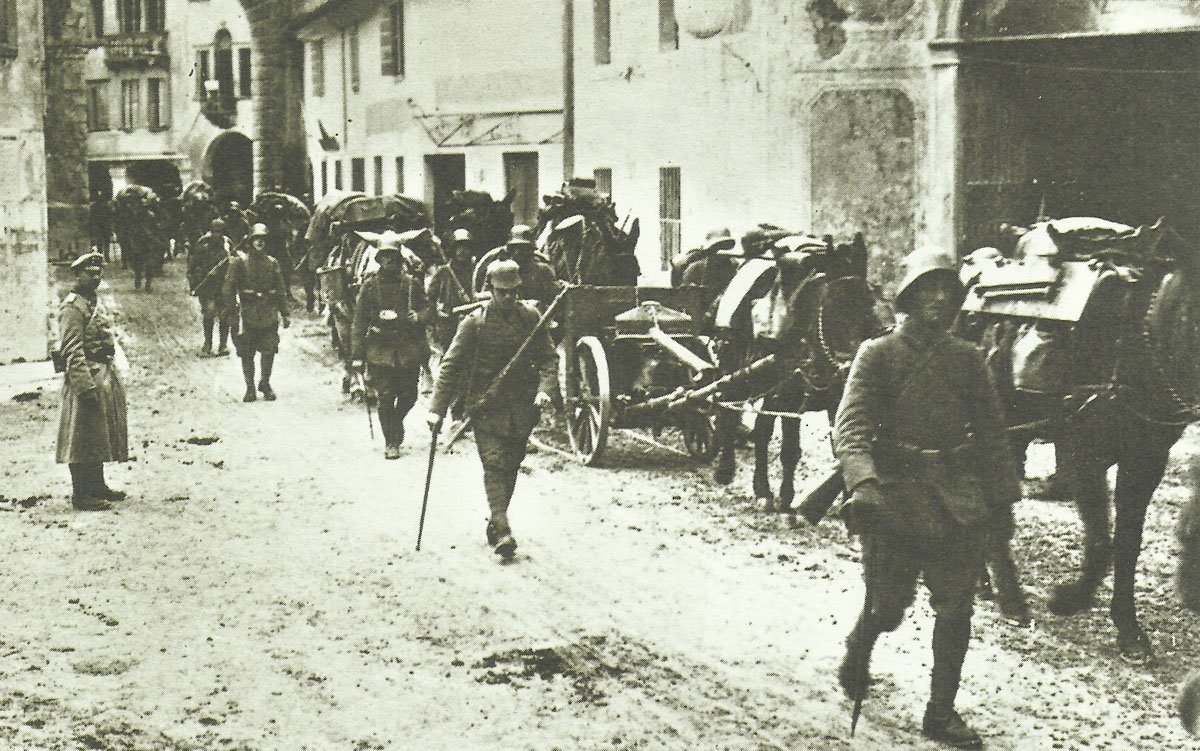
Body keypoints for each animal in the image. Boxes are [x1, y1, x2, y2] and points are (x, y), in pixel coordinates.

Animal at [705, 232, 878, 508]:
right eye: (830, 306)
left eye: (868, 302)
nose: (848, 365)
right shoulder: (789, 399)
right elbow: (789, 449)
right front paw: (786, 497)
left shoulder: (837, 399)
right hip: (738, 374)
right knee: (729, 413)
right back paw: (730, 471)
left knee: (761, 428)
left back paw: (761, 488)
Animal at [964, 218, 1200, 662]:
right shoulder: (1084, 453)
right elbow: (1102, 545)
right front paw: (1068, 600)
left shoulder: (1147, 458)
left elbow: (1127, 544)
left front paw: (1129, 630)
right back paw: (1010, 599)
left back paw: (987, 582)